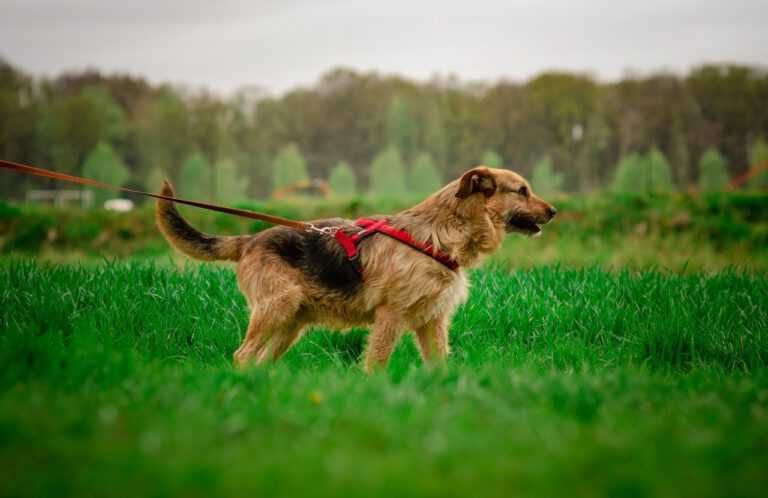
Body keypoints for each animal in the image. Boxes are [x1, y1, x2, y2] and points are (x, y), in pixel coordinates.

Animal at [158, 166, 552, 370]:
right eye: (522, 190)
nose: (554, 211)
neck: (440, 233)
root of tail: (250, 240)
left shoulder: (432, 321)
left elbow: (439, 363)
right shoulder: (391, 317)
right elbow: (376, 363)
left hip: (290, 324)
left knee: (261, 360)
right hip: (276, 308)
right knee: (242, 356)